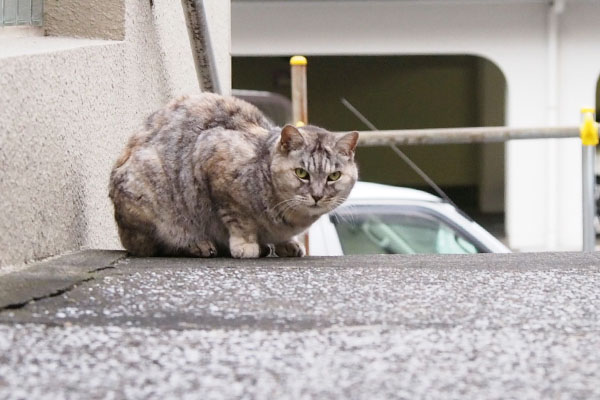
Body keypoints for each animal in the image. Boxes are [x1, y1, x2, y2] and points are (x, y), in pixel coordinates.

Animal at [108, 92, 358, 258]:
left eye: (334, 176)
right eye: (301, 173)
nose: (317, 195)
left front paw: (287, 243)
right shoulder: (216, 164)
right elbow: (239, 221)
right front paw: (246, 246)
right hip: (150, 195)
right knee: (155, 244)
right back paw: (198, 245)